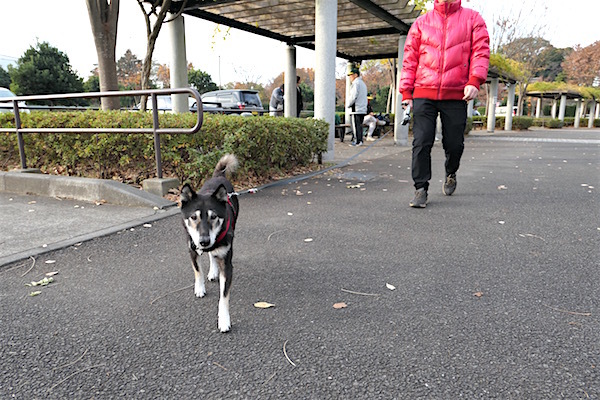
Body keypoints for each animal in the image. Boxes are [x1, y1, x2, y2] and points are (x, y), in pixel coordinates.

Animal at [180, 155, 239, 332]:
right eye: (193, 217)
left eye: (213, 217)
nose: (204, 241)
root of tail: (218, 176)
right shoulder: (192, 250)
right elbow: (197, 271)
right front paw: (199, 288)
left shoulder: (227, 264)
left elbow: (224, 297)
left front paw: (224, 320)